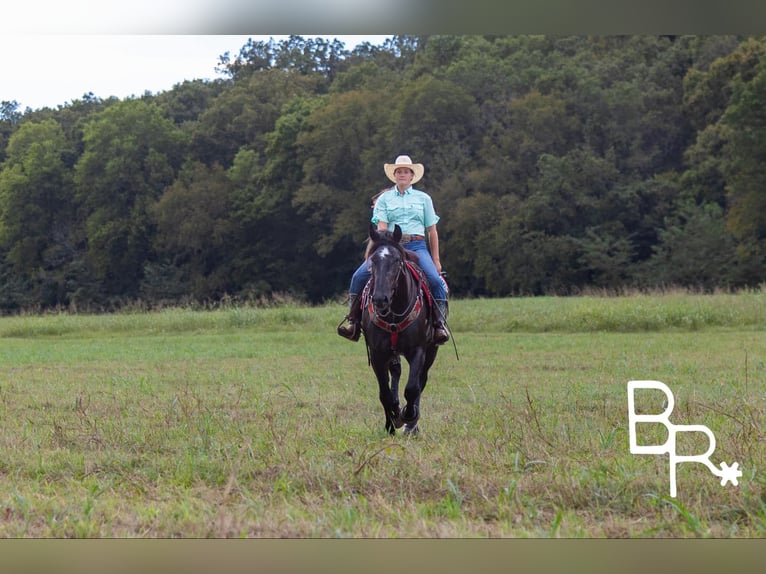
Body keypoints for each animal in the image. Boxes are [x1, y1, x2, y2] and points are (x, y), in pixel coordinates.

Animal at [364, 225, 440, 436]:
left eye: (397, 260)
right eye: (373, 260)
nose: (380, 299)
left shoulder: (418, 350)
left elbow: (413, 387)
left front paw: (408, 416)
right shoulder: (377, 353)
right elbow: (384, 393)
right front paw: (391, 423)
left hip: (431, 351)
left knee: (421, 380)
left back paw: (411, 425)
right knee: (396, 374)